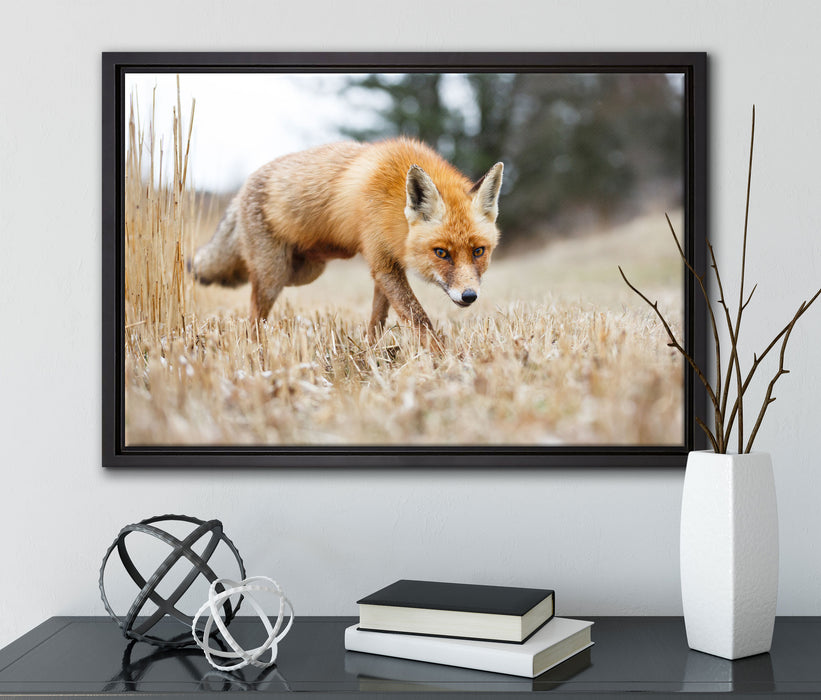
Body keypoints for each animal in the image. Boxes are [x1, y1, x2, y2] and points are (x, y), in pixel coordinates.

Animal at [190, 137, 504, 349]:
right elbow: (418, 318)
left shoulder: (386, 265)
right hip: (274, 276)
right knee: (254, 314)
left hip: (303, 271)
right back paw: (255, 348)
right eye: (441, 253)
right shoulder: (383, 263)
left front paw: (371, 351)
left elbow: (379, 318)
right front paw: (444, 359)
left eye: (478, 251)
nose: (469, 296)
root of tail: (240, 189)